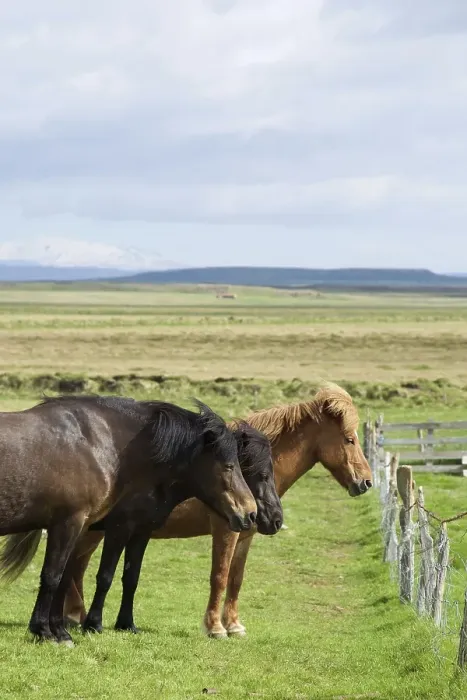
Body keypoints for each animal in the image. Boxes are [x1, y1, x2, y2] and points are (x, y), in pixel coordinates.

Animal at [0, 396, 257, 645]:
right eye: (229, 466)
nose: (251, 513)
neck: (96, 443)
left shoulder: (136, 530)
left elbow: (123, 577)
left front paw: (121, 624)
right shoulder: (90, 525)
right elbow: (61, 576)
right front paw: (53, 630)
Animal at [78, 422, 282, 634]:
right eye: (263, 475)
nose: (276, 518)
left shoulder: (141, 531)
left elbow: (131, 577)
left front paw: (126, 624)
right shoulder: (118, 529)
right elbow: (105, 576)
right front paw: (94, 624)